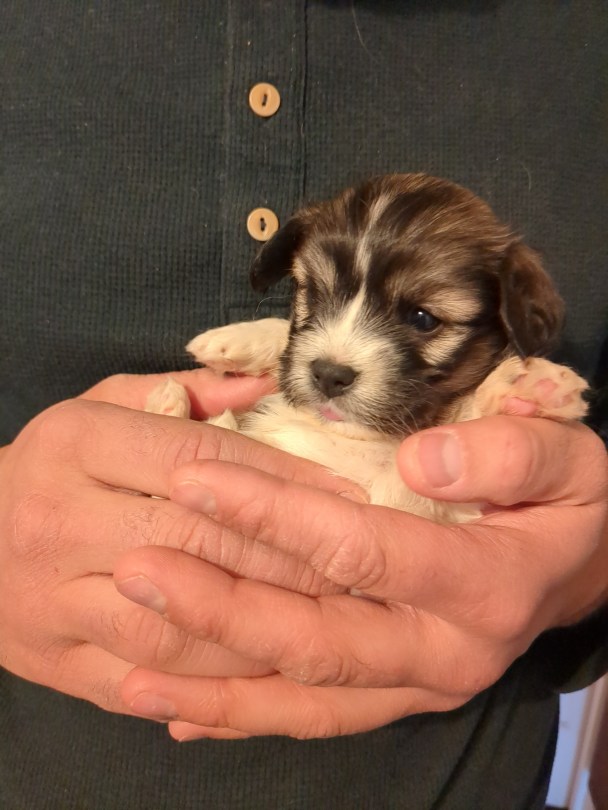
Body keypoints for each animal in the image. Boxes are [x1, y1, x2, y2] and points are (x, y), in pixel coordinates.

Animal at [147, 173, 588, 523]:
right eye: (315, 294)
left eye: (423, 318)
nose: (328, 375)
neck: (358, 436)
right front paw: (241, 339)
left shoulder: (405, 506)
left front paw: (527, 386)